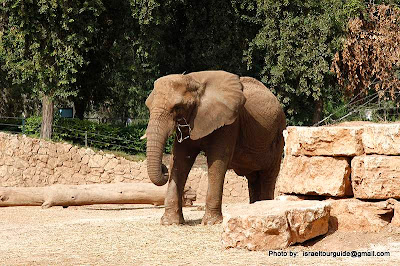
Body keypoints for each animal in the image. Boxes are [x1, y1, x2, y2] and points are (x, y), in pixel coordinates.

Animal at [145, 70, 286, 224]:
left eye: (178, 107)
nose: (163, 169)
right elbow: (180, 160)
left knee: (268, 175)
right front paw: (170, 222)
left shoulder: (230, 122)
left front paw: (211, 222)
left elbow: (218, 160)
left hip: (279, 135)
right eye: (148, 106)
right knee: (254, 178)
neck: (194, 80)